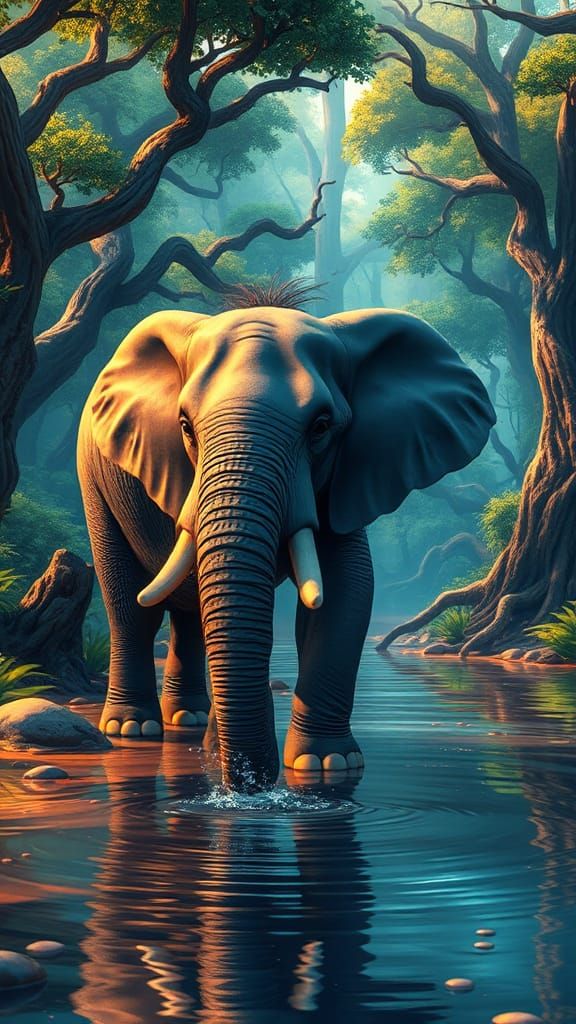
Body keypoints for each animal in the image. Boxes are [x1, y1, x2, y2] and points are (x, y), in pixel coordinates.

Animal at [77, 300, 495, 789]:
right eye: (185, 427)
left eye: (321, 427)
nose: (250, 783)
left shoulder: (347, 477)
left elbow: (347, 591)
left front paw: (327, 764)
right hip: (94, 481)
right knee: (130, 601)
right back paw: (133, 727)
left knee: (188, 613)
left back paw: (190, 721)